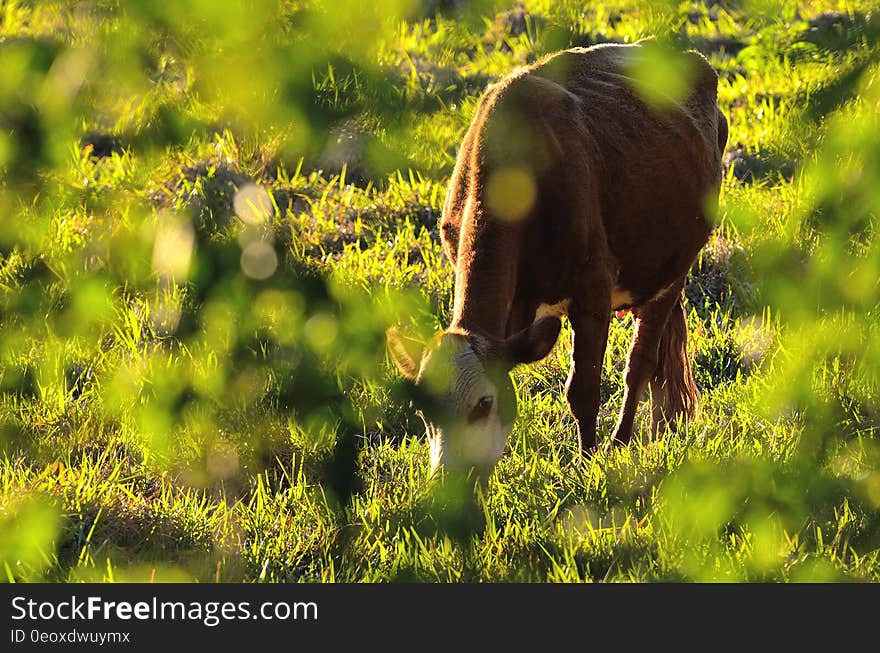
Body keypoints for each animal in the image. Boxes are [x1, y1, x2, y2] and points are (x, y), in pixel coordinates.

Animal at [388, 43, 724, 476]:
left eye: (484, 403)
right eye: (424, 411)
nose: (447, 481)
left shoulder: (593, 286)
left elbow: (583, 389)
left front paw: (587, 464)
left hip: (674, 269)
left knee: (641, 362)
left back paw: (621, 440)